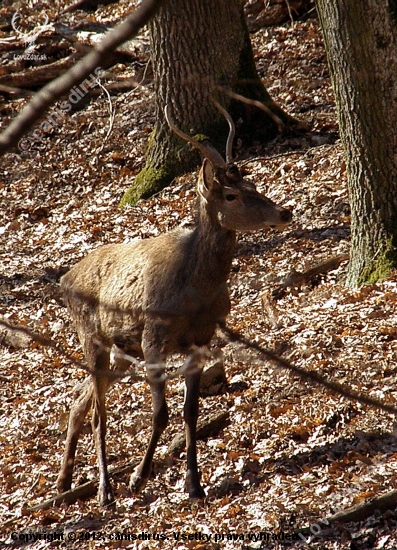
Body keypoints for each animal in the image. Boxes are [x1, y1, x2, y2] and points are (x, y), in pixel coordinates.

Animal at [55, 101, 290, 506]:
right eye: (230, 195)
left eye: (253, 185)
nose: (284, 213)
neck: (193, 293)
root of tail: (63, 280)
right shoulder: (153, 335)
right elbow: (161, 412)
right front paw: (139, 477)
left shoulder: (201, 339)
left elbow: (189, 411)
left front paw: (194, 484)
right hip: (92, 338)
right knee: (99, 413)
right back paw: (104, 490)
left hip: (119, 352)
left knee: (79, 400)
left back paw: (63, 483)